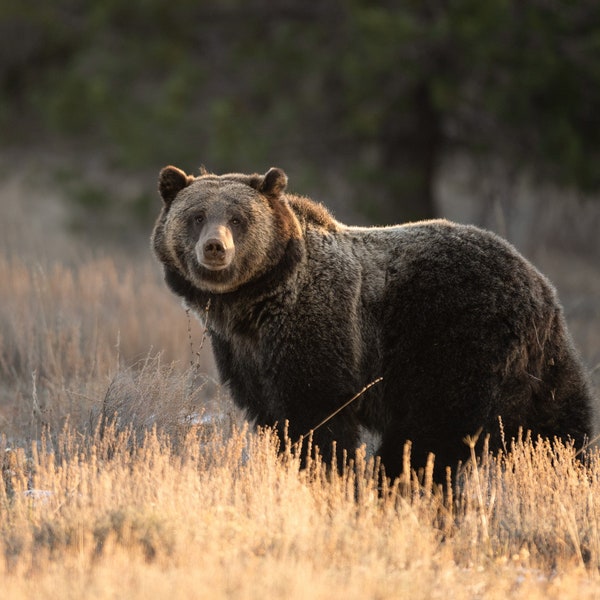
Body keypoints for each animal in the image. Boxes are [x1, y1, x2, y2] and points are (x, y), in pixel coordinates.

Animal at [152, 163, 592, 478]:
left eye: (238, 218)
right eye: (196, 216)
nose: (214, 247)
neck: (253, 306)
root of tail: (534, 279)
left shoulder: (318, 331)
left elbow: (319, 419)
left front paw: (330, 474)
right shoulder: (245, 357)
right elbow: (275, 418)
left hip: (453, 338)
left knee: (429, 434)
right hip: (542, 364)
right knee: (557, 427)